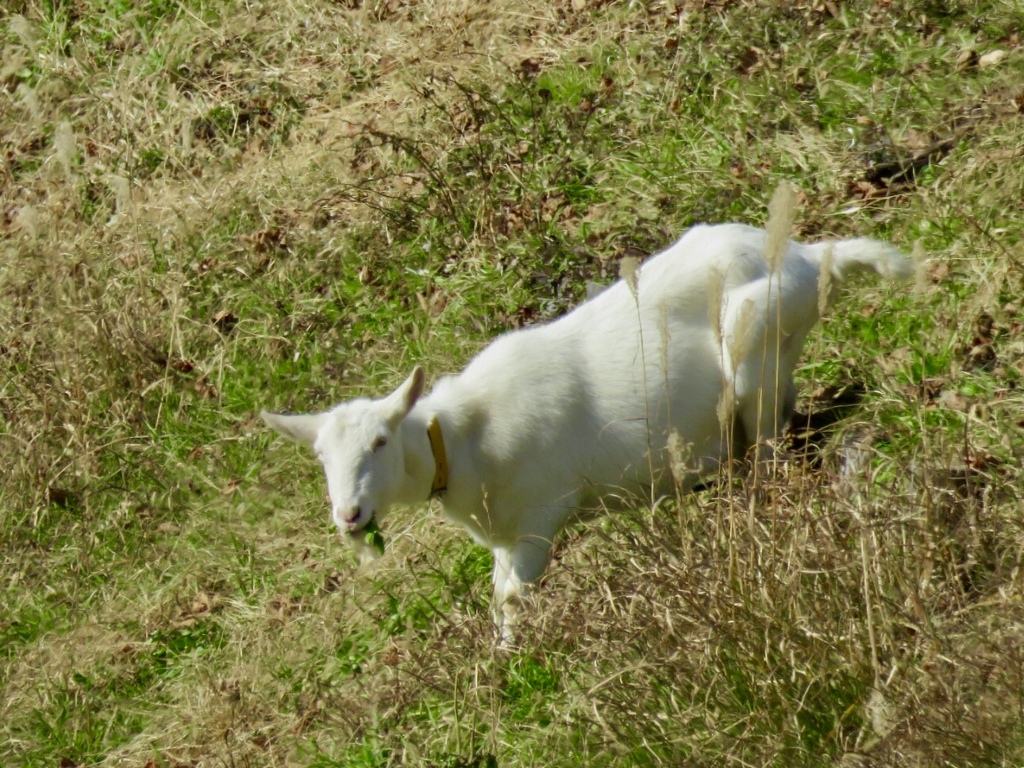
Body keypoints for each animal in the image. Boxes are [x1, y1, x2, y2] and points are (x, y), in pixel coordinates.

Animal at [262, 224, 913, 643]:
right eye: (321, 457)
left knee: (770, 443)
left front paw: (513, 665)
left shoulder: (538, 519)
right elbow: (498, 597)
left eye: (380, 442)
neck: (464, 439)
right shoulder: (503, 537)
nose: (349, 515)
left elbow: (513, 599)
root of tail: (810, 254)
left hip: (755, 342)